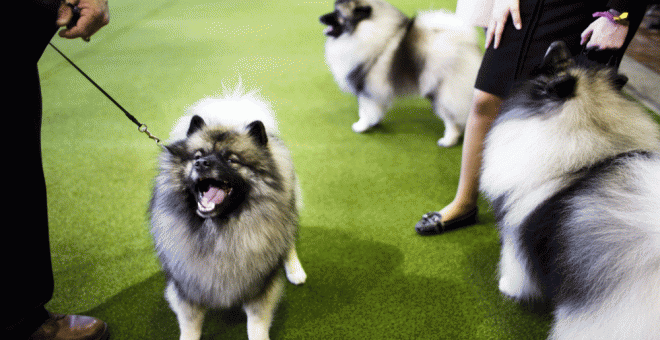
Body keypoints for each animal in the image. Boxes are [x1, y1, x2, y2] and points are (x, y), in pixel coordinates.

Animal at [480, 41, 660, 338]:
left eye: (559, 63)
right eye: (579, 55)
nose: (556, 42)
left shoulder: (516, 231)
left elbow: (514, 264)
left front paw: (507, 286)